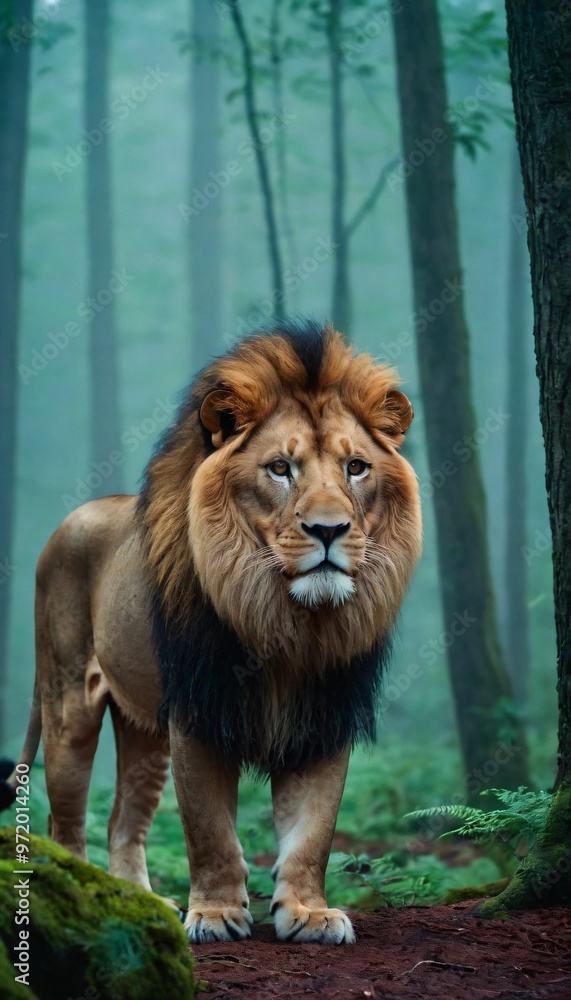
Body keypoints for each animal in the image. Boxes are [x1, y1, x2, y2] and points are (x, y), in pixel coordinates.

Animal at [1, 321, 421, 945]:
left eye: (356, 468)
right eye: (280, 468)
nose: (329, 529)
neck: (287, 620)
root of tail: (69, 520)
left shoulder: (324, 713)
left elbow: (314, 830)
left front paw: (309, 913)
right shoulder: (198, 712)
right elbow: (209, 829)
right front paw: (218, 913)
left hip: (143, 728)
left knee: (123, 820)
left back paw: (140, 903)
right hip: (68, 702)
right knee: (65, 818)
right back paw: (81, 896)